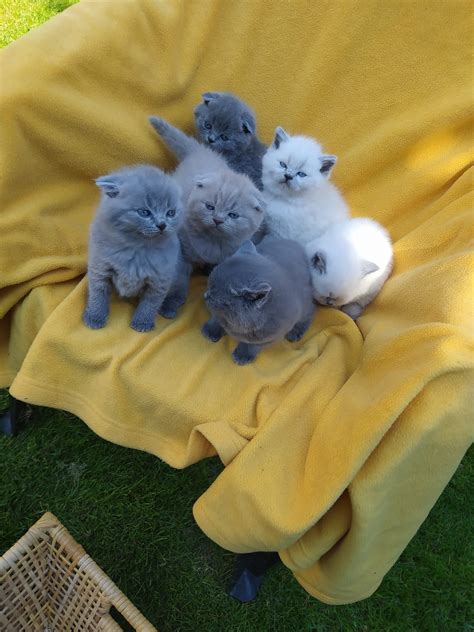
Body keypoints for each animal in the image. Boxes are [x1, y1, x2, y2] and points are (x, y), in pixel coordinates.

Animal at [82, 165, 182, 334]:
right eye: (144, 212)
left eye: (170, 213)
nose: (162, 225)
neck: (137, 248)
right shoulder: (100, 267)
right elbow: (98, 294)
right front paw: (95, 316)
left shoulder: (161, 278)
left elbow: (151, 303)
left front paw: (142, 322)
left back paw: (169, 308)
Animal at [149, 116, 264, 318]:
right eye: (210, 207)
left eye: (233, 215)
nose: (217, 220)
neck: (212, 244)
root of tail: (203, 151)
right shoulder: (181, 253)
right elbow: (178, 281)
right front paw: (171, 305)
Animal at [201, 237, 314, 366]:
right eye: (209, 286)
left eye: (214, 294)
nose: (205, 295)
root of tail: (295, 244)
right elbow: (216, 319)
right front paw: (210, 330)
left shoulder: (268, 337)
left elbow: (251, 346)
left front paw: (242, 355)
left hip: (306, 305)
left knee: (308, 315)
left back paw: (295, 332)